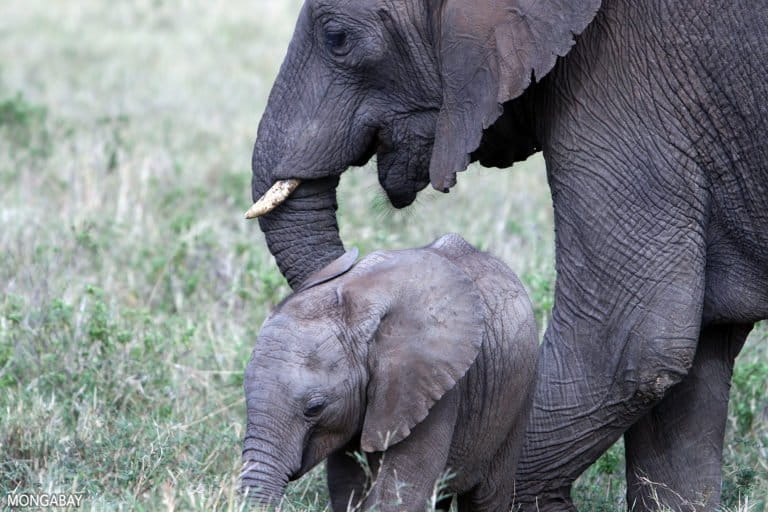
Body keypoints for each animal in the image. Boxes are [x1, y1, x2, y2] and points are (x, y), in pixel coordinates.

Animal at [243, 234, 536, 510]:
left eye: (314, 408)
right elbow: (347, 489)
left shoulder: (430, 387)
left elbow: (399, 494)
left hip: (517, 397)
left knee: (487, 497)